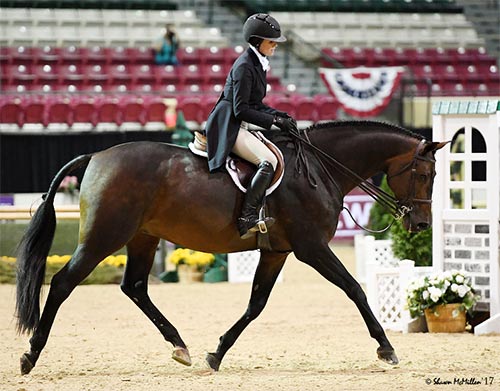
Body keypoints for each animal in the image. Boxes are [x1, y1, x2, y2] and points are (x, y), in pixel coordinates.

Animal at [14, 120, 446, 376]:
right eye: (425, 174)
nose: (421, 224)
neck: (319, 169)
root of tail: (96, 155)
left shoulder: (277, 252)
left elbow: (256, 304)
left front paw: (216, 353)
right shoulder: (311, 248)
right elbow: (355, 289)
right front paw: (386, 348)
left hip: (143, 237)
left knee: (134, 287)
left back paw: (180, 346)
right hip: (105, 237)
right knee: (62, 283)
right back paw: (31, 355)